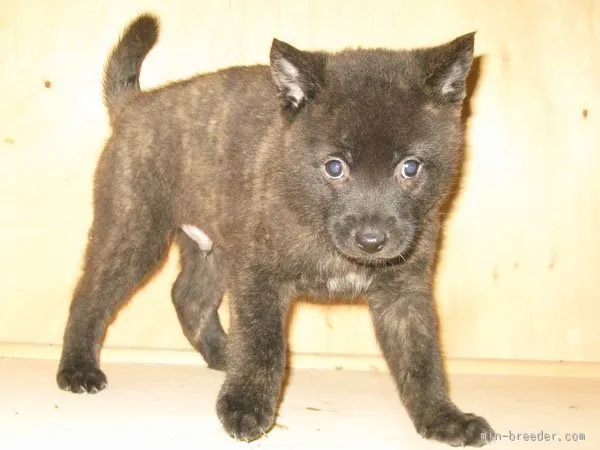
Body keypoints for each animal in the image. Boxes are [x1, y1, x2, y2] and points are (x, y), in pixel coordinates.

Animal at [57, 13, 492, 446]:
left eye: (410, 167)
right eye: (335, 167)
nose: (371, 241)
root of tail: (133, 105)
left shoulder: (404, 291)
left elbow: (422, 360)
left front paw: (443, 417)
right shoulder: (258, 276)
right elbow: (262, 345)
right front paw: (245, 406)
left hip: (214, 247)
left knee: (188, 296)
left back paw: (222, 354)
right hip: (133, 229)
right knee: (90, 295)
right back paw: (78, 370)